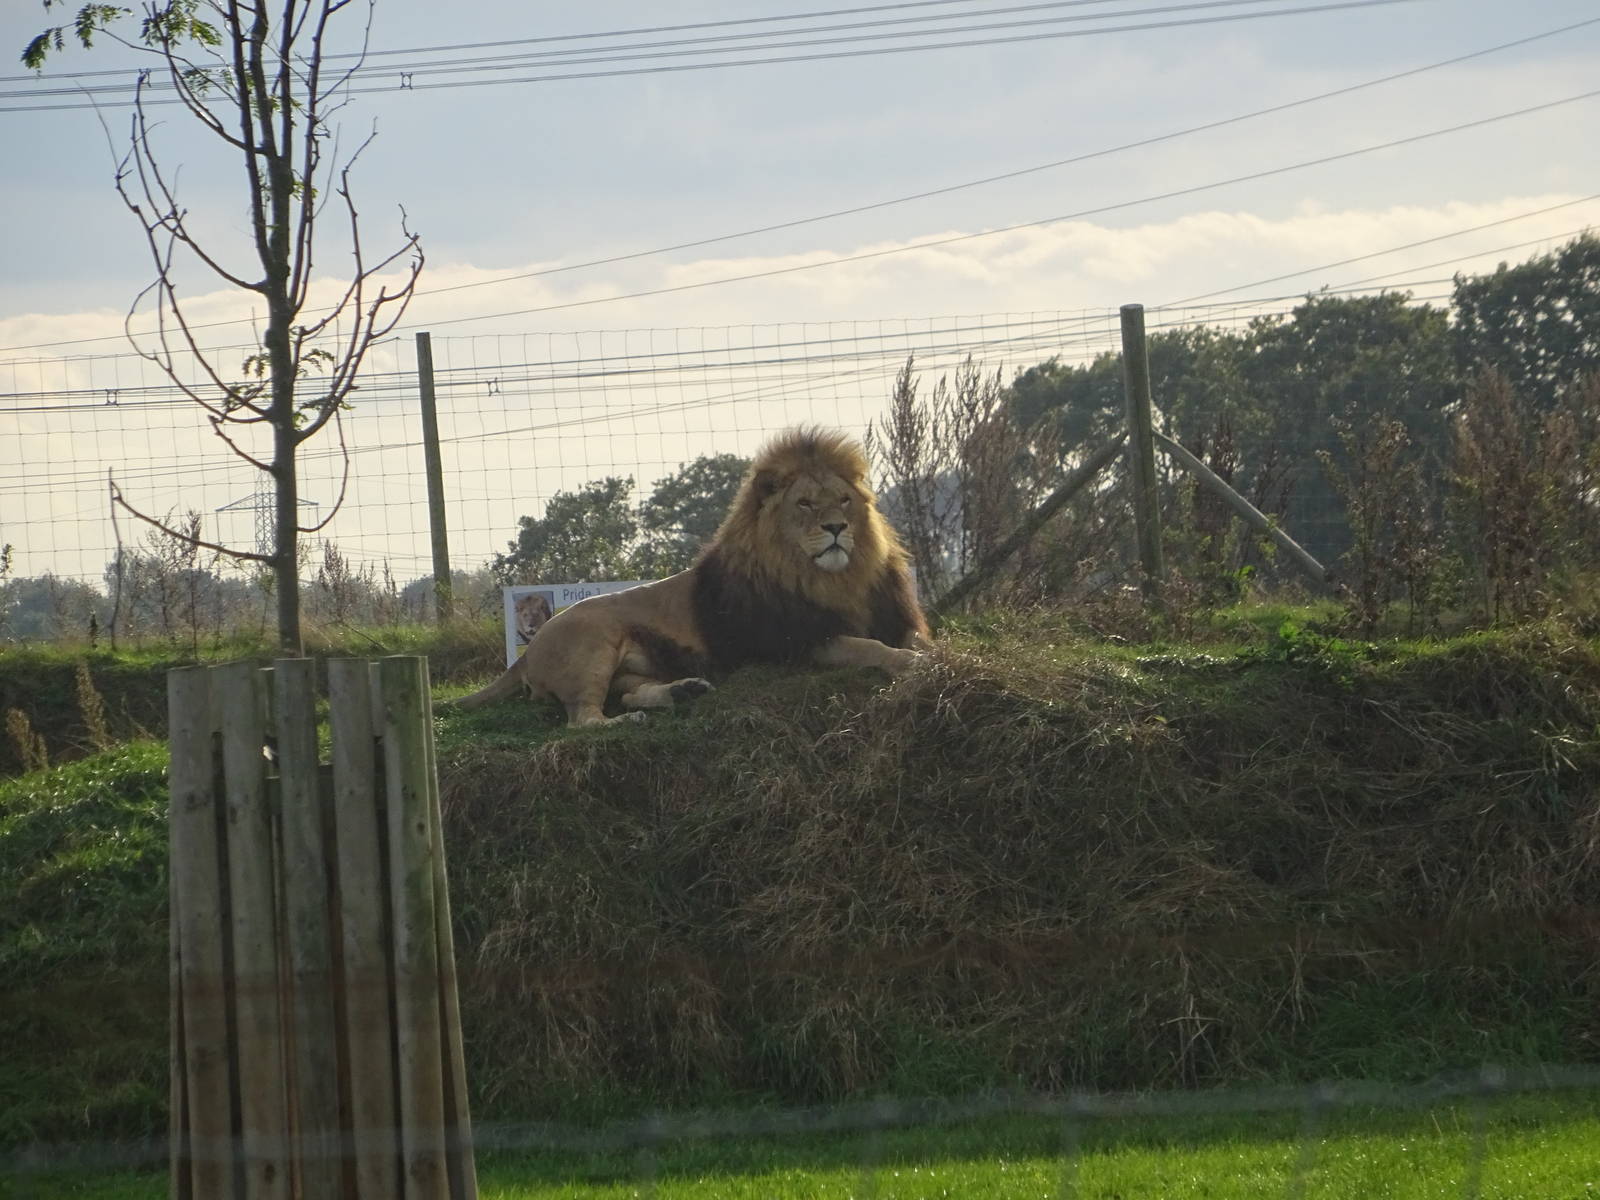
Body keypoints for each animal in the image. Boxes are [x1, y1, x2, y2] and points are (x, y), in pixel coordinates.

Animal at [450, 427, 928, 726]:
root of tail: (527, 652)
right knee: (582, 719)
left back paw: (684, 691)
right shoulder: (797, 643)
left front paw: (926, 653)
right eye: (806, 503)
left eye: (845, 500)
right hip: (593, 642)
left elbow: (915, 638)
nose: (837, 528)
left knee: (626, 692)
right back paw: (627, 720)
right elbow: (867, 647)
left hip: (630, 668)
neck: (834, 579)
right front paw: (908, 662)